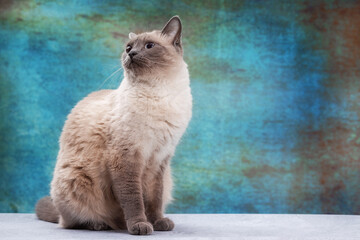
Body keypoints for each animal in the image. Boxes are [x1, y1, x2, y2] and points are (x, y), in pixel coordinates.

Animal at [35, 15, 193, 235]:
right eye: (128, 48)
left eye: (149, 46)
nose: (132, 54)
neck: (159, 91)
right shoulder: (126, 157)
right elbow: (134, 199)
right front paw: (140, 226)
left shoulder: (159, 159)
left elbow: (154, 199)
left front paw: (158, 223)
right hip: (76, 180)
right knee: (72, 221)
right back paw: (100, 225)